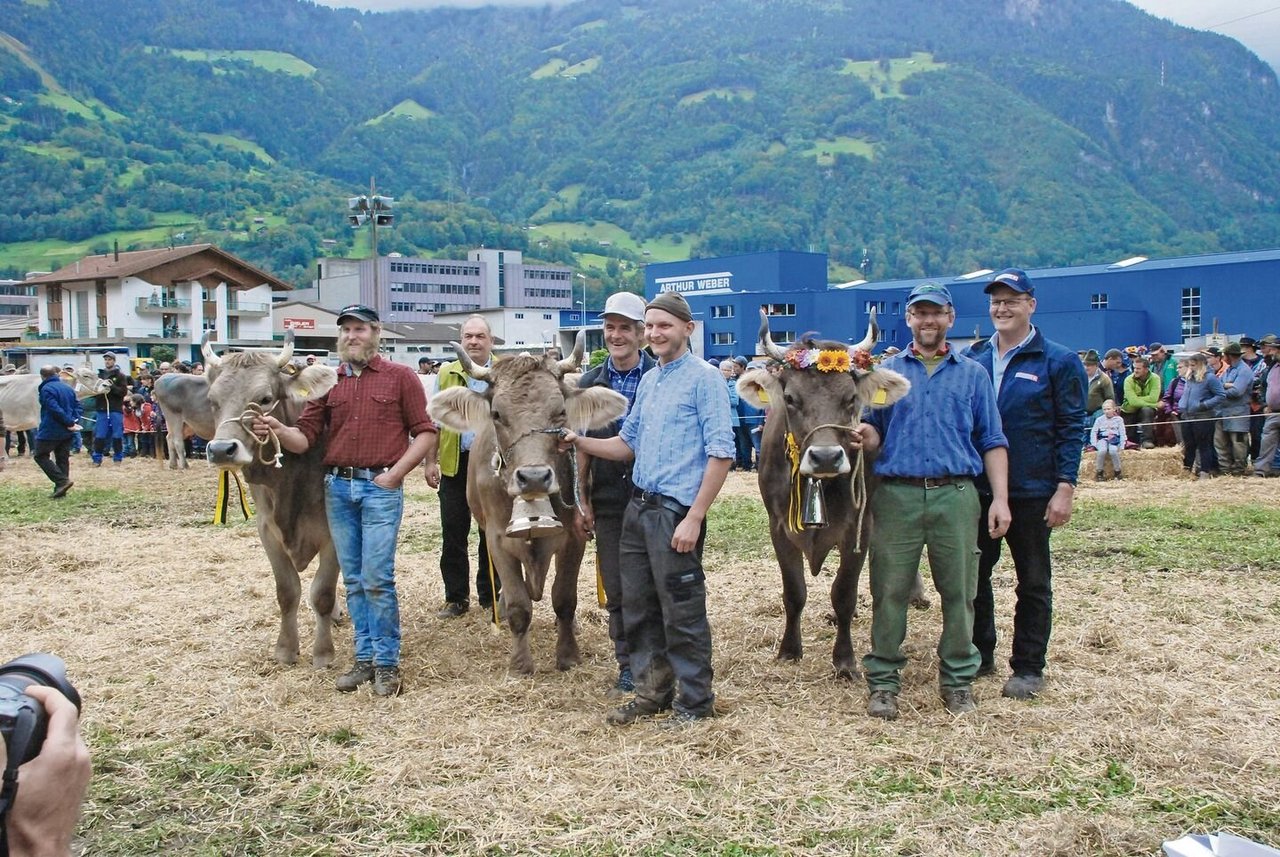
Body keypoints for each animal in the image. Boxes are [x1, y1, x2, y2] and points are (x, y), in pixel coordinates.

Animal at [199, 340, 343, 670]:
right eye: (212, 401)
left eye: (264, 399)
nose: (221, 450)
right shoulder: (266, 529)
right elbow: (287, 591)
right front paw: (286, 649)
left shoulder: (334, 530)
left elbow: (322, 593)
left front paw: (323, 653)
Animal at [427, 335, 627, 680]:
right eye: (496, 414)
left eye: (560, 412)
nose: (533, 477)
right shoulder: (497, 538)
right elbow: (520, 605)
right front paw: (520, 664)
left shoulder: (572, 537)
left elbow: (564, 598)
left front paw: (568, 655)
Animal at [737, 312, 916, 680]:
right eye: (791, 398)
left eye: (850, 399)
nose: (826, 457)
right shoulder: (779, 528)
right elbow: (794, 592)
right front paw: (789, 650)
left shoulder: (859, 526)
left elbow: (844, 593)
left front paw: (844, 661)